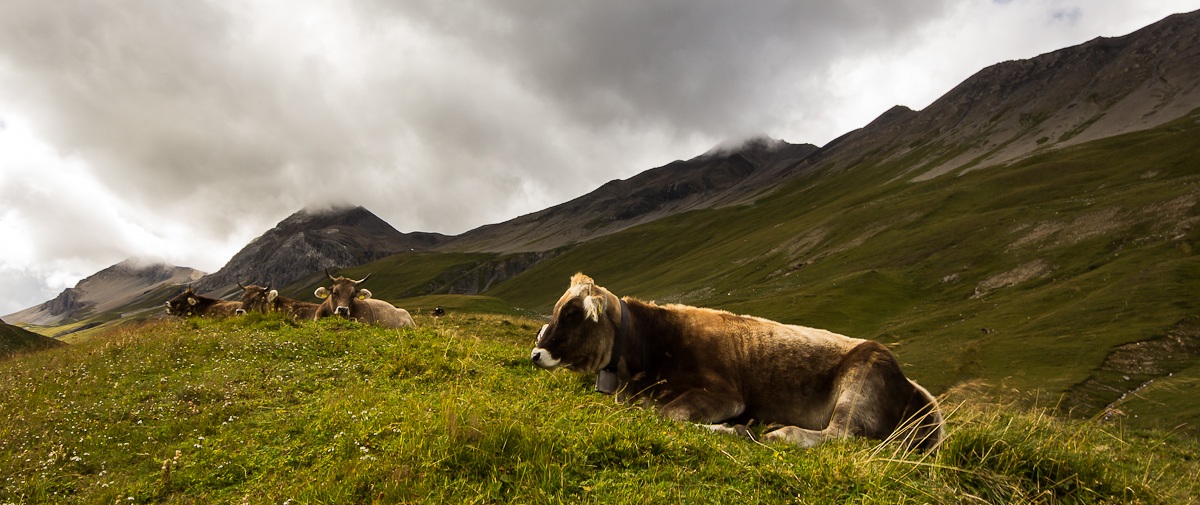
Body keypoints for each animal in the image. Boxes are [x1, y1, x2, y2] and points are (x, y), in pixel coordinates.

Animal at [530, 273, 944, 451]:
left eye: (571, 314)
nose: (535, 354)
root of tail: (916, 390)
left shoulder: (724, 394)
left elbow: (669, 415)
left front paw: (733, 429)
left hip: (861, 380)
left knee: (840, 434)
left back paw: (780, 432)